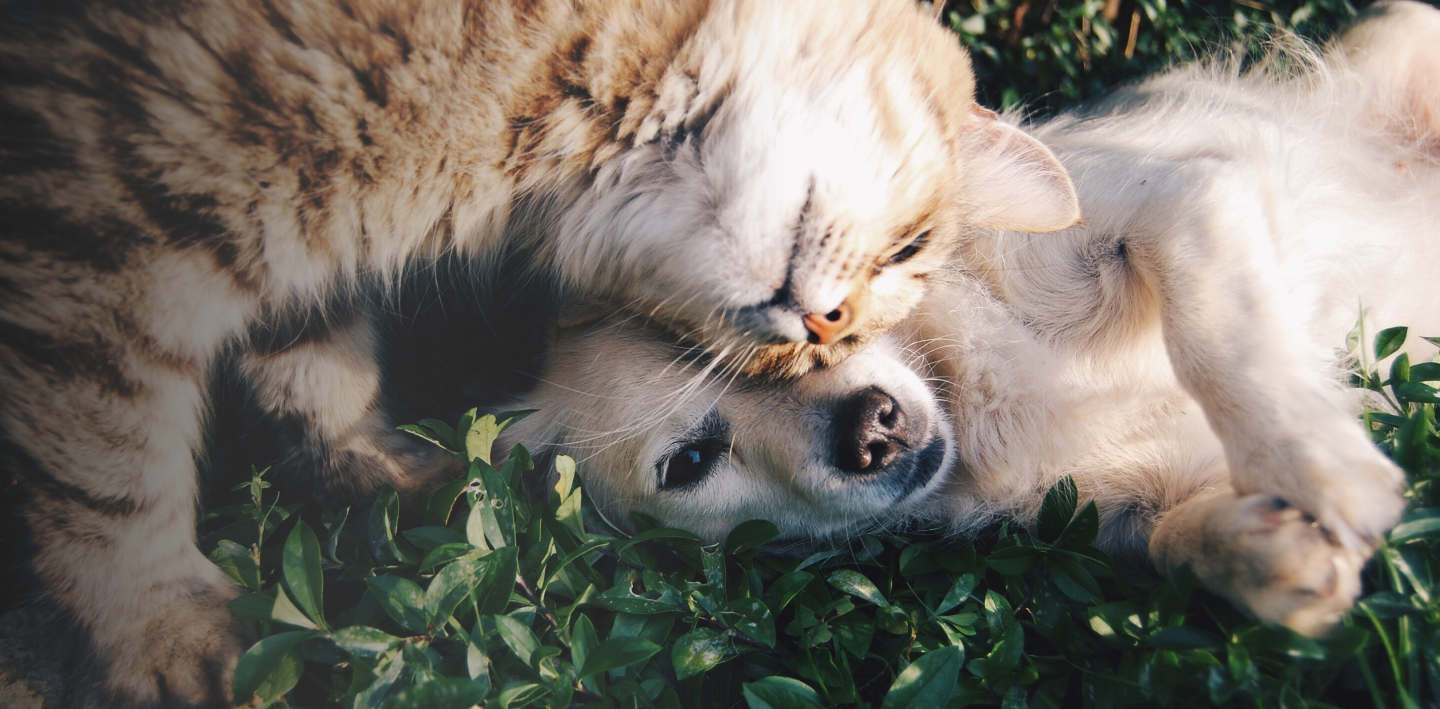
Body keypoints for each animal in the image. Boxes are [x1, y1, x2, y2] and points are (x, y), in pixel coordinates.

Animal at [0, 0, 1082, 703]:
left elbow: (317, 367)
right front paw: (161, 630)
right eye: (908, 249)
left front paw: (381, 470)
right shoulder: (99, 233)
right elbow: (107, 467)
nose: (824, 332)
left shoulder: (285, 250)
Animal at [506, 0, 1440, 639]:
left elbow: (1220, 338)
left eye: (828, 320)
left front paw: (1323, 466)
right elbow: (1177, 540)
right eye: (691, 462)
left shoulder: (1181, 198)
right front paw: (1274, 555)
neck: (968, 392)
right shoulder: (1123, 509)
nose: (873, 430)